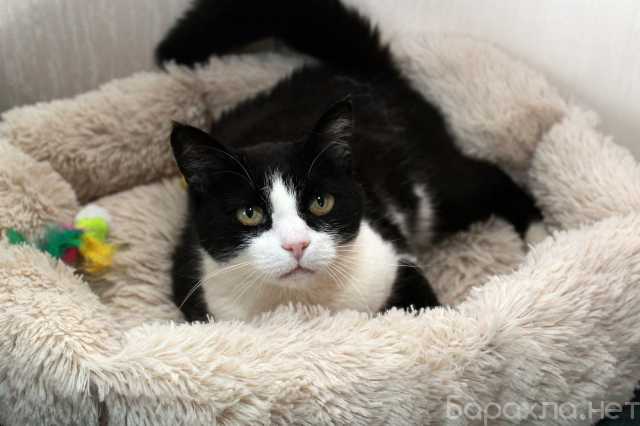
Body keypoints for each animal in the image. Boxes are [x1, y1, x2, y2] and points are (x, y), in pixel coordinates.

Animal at [158, 0, 541, 322]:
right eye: (249, 213)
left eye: (321, 202)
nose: (297, 245)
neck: (303, 303)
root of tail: (361, 70)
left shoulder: (391, 257)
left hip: (429, 178)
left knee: (484, 179)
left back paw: (540, 238)